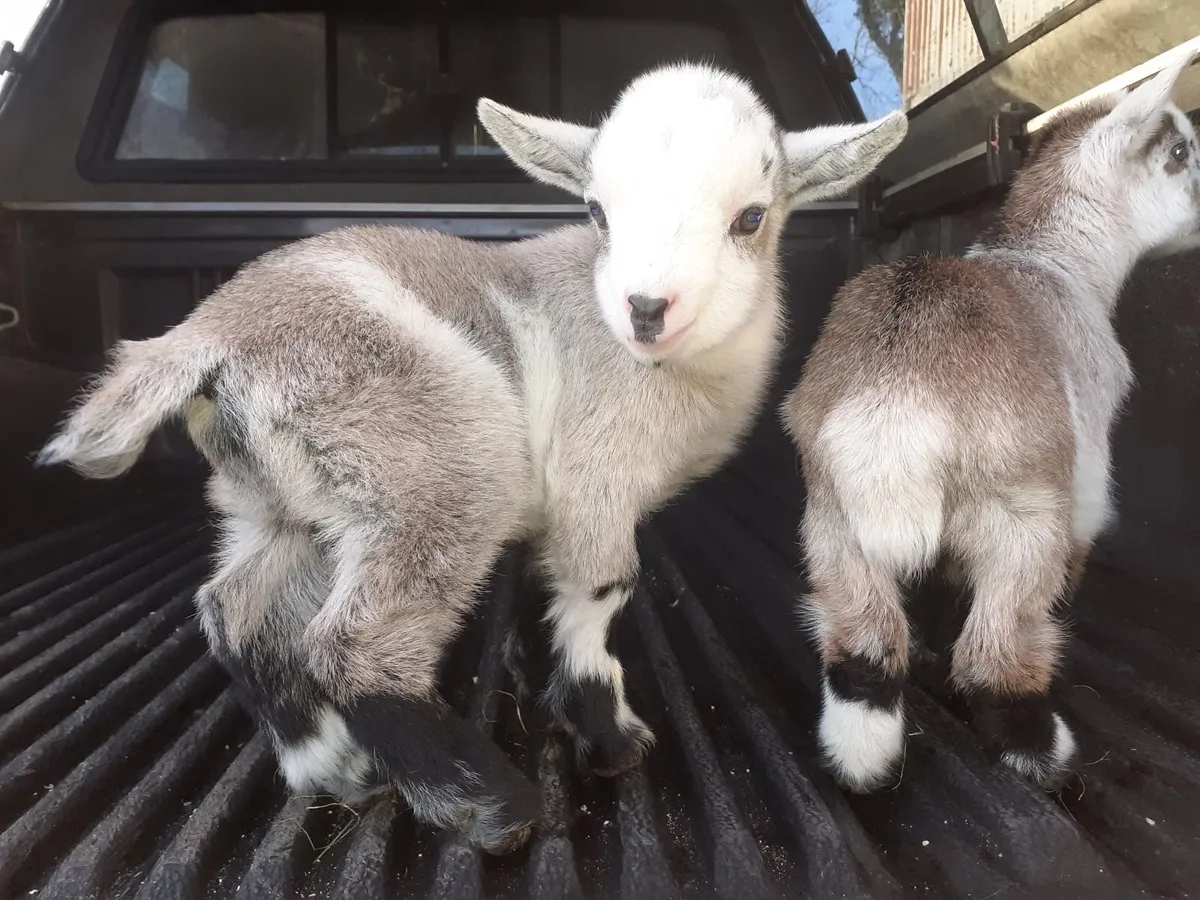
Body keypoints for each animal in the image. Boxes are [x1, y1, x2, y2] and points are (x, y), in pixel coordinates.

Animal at [38, 63, 907, 851]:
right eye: (596, 210)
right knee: (353, 645)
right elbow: (602, 593)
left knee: (235, 611)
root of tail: (207, 340)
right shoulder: (593, 477)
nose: (647, 309)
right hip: (440, 463)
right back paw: (490, 806)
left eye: (751, 217)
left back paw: (329, 766)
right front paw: (611, 740)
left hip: (282, 501)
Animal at [783, 51, 1200, 794]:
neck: (1058, 262)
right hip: (1020, 514)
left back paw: (862, 758)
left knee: (864, 648)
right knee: (996, 651)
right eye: (1179, 152)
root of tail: (900, 391)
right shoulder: (1084, 471)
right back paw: (1041, 750)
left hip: (833, 517)